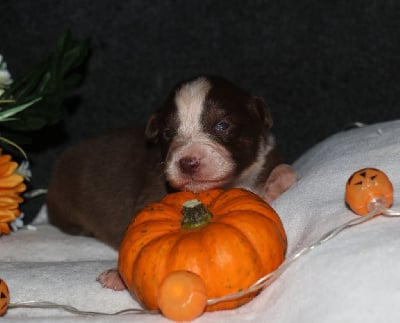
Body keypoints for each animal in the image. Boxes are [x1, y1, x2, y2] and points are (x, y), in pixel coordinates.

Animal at [47, 74, 296, 252]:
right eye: (168, 132)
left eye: (222, 126)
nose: (188, 162)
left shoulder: (266, 159)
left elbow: (283, 173)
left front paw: (276, 184)